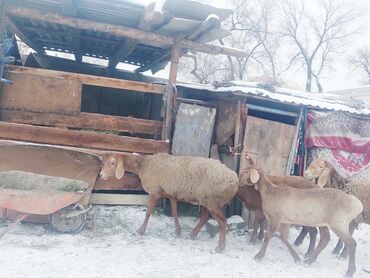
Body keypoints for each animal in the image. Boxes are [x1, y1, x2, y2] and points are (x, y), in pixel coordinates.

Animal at [98, 152, 238, 252]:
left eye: (112, 162)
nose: (101, 175)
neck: (144, 166)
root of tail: (234, 180)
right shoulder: (170, 194)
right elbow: (174, 212)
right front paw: (178, 231)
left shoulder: (154, 192)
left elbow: (148, 212)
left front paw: (141, 230)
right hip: (205, 199)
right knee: (204, 217)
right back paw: (193, 234)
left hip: (211, 199)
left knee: (222, 221)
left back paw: (220, 247)